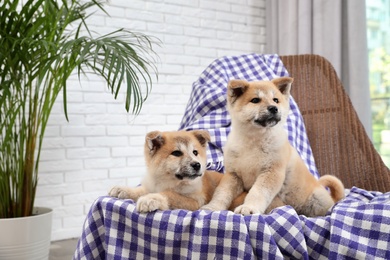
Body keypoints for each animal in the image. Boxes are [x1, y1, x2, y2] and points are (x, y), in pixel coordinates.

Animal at [108, 130, 245, 213]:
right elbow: (140, 190)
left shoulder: (196, 202)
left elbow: (169, 195)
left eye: (195, 152)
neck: (168, 181)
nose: (197, 165)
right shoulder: (151, 185)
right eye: (177, 153)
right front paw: (123, 189)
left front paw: (151, 198)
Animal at [201, 77, 344, 217]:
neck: (253, 141)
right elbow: (221, 193)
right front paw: (213, 207)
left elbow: (257, 192)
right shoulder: (233, 175)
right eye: (255, 100)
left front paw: (249, 207)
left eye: (275, 100)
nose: (274, 108)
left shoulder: (270, 172)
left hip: (317, 200)